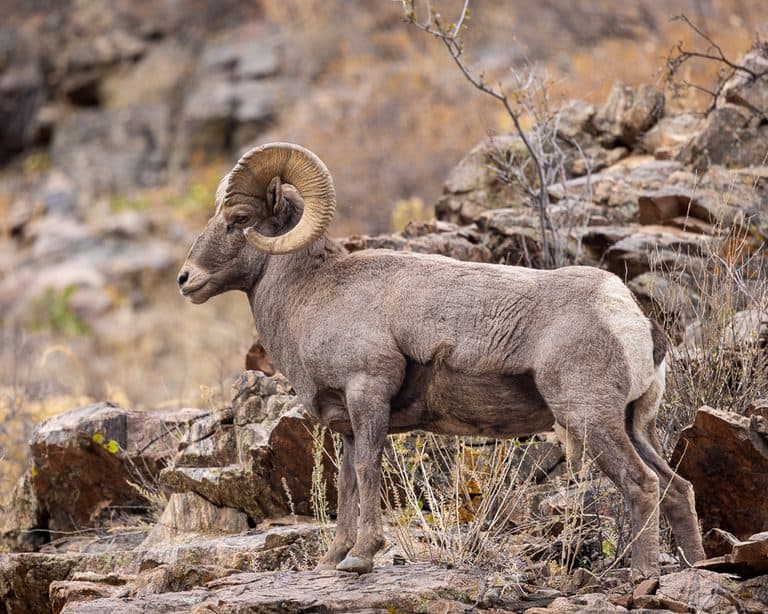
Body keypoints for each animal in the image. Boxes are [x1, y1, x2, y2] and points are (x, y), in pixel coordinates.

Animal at [178, 142, 705, 576]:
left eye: (238, 218)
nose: (186, 279)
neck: (312, 296)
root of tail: (632, 320)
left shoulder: (368, 394)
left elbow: (368, 471)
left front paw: (362, 557)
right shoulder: (346, 422)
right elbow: (346, 483)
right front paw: (334, 559)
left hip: (590, 419)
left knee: (641, 484)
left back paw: (641, 574)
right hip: (635, 424)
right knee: (677, 487)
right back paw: (699, 566)